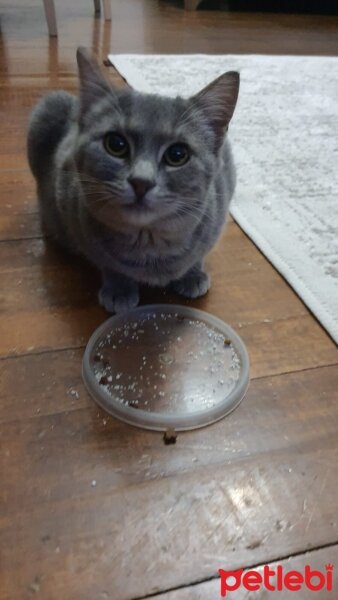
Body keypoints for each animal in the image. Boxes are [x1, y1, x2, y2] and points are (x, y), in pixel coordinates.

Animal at [27, 47, 240, 314]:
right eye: (116, 144)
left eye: (177, 154)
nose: (141, 182)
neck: (149, 242)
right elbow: (109, 265)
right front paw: (119, 289)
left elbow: (198, 254)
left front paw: (192, 274)